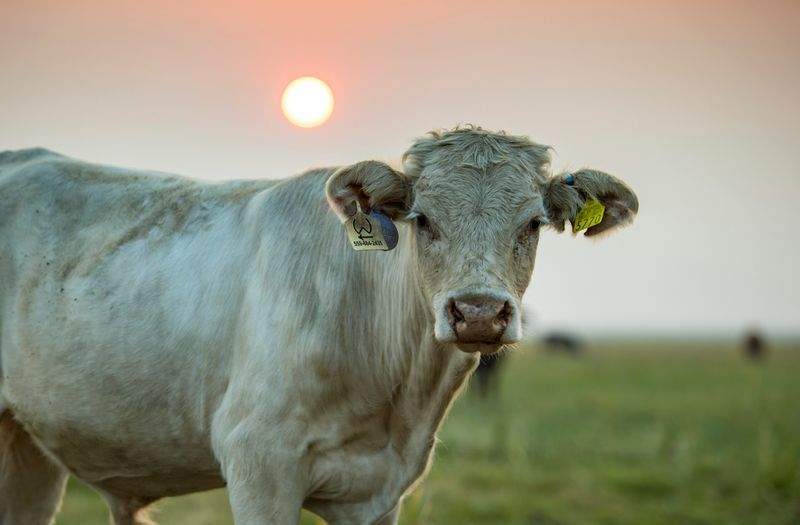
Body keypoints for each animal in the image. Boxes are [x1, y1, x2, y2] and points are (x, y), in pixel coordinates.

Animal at [0, 127, 638, 525]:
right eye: (422, 219)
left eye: (532, 224)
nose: (478, 311)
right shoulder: (258, 461)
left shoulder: (380, 494)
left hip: (29, 451)